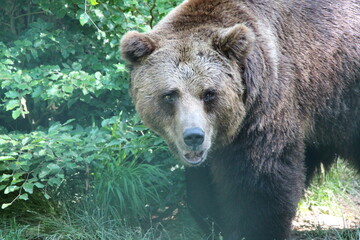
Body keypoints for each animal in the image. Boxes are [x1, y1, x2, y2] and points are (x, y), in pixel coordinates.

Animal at [121, 0, 360, 239]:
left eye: (209, 93)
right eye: (170, 95)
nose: (194, 136)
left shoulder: (268, 106)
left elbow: (261, 181)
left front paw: (254, 228)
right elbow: (206, 184)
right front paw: (213, 219)